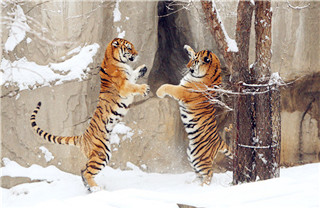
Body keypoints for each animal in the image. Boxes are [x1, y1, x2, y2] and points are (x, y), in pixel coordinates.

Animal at [30, 37, 150, 192]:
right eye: (129, 48)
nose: (137, 54)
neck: (112, 59)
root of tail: (82, 137)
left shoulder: (129, 77)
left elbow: (134, 74)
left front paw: (143, 68)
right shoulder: (124, 86)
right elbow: (133, 86)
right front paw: (144, 88)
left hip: (101, 155)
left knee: (83, 169)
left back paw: (89, 188)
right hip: (102, 154)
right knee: (87, 171)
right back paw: (96, 189)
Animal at [156, 44, 232, 184]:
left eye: (195, 61)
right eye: (192, 59)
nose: (187, 66)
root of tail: (219, 140)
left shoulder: (182, 91)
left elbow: (169, 86)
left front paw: (159, 92)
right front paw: (188, 48)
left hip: (199, 159)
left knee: (209, 174)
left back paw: (202, 186)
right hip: (191, 155)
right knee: (199, 174)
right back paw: (191, 183)